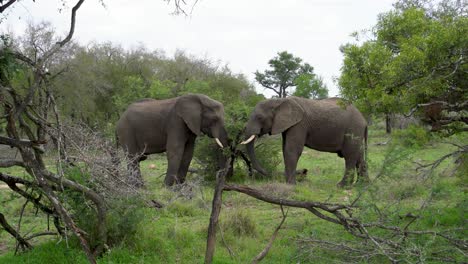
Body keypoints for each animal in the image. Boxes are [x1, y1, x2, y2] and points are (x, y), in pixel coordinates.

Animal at [241, 97, 370, 188]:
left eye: (259, 117)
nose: (267, 172)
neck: (279, 101)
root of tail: (364, 121)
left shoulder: (299, 124)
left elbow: (292, 150)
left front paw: (291, 185)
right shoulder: (289, 125)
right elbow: (284, 149)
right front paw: (288, 183)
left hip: (353, 129)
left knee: (350, 156)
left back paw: (342, 186)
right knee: (359, 156)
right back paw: (362, 185)